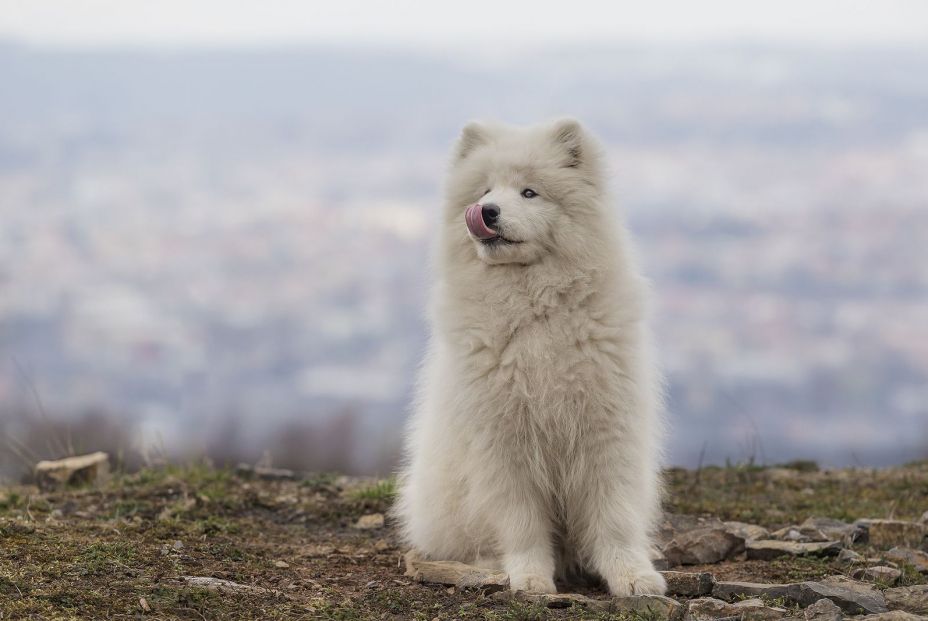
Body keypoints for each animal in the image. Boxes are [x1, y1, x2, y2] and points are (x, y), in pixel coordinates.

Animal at [392, 117, 668, 596]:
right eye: (485, 190)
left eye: (529, 193)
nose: (486, 211)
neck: (535, 308)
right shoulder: (504, 444)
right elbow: (521, 525)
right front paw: (531, 578)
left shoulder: (606, 434)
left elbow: (613, 519)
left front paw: (633, 577)